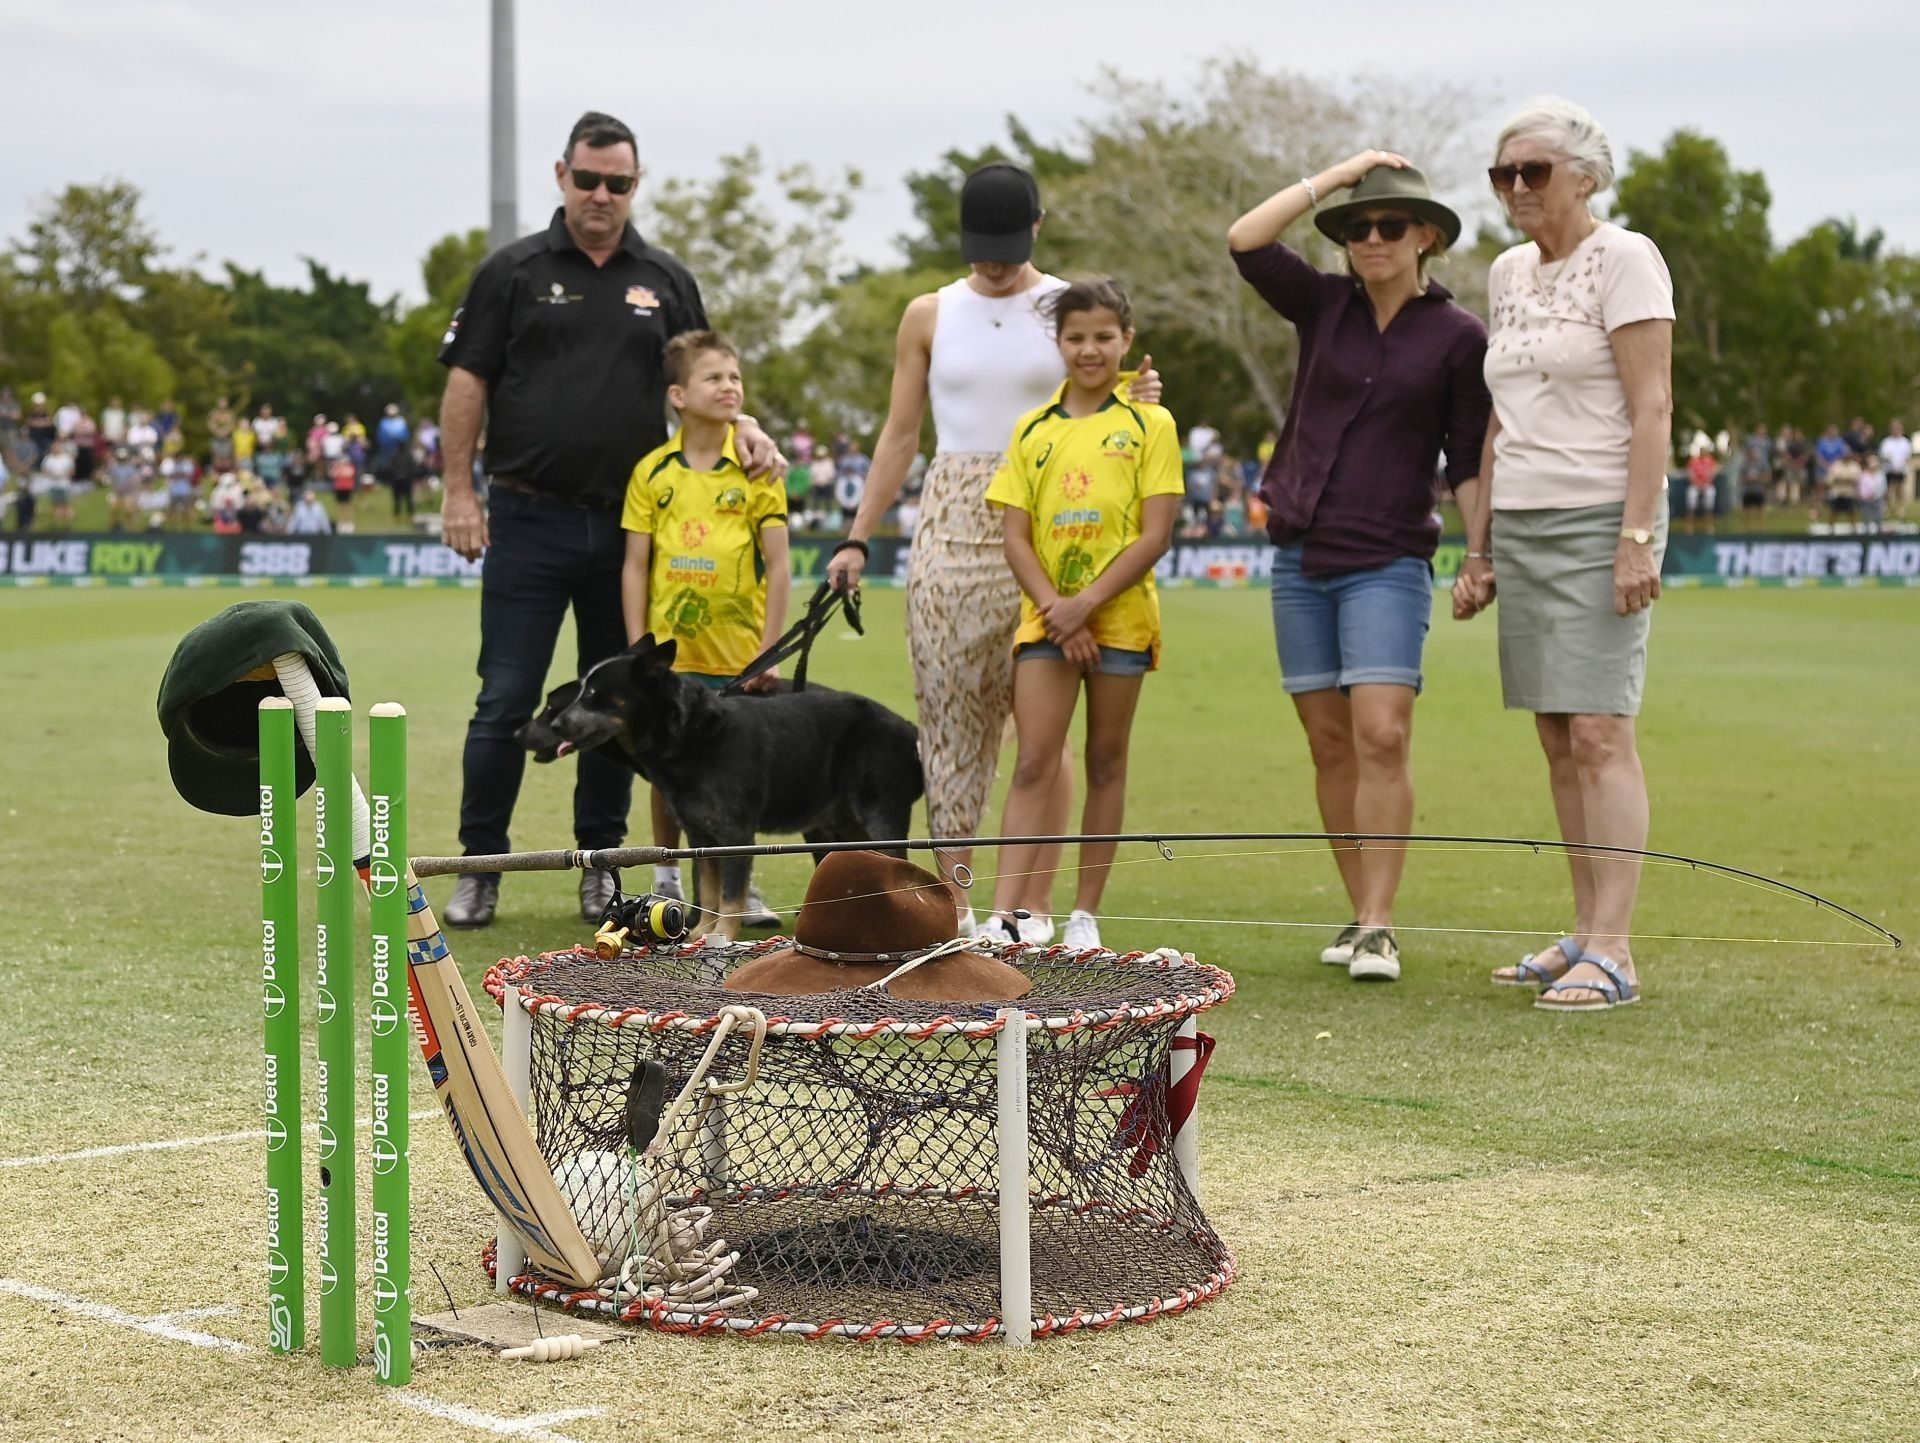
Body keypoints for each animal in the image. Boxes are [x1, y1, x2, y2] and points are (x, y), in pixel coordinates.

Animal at [533, 637, 921, 940]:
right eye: (580, 692)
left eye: (594, 695)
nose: (558, 723)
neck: (690, 737)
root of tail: (908, 728)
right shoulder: (700, 835)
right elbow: (709, 890)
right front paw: (702, 931)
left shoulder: (735, 831)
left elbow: (731, 894)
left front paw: (723, 934)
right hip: (841, 824)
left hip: (879, 815)